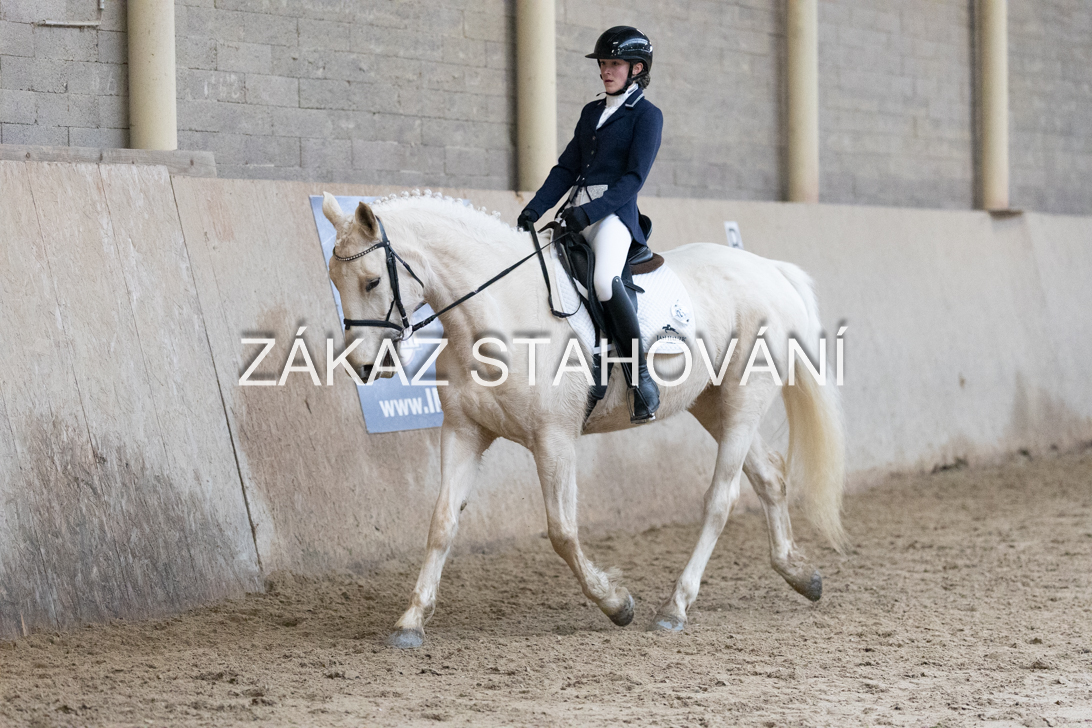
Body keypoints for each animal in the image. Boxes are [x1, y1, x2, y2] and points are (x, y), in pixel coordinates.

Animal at [319, 191, 846, 648]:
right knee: (770, 476)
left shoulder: (554, 439)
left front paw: (616, 603)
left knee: (721, 499)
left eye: (371, 281)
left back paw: (674, 608)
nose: (363, 366)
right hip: (712, 405)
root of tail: (767, 268)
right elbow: (442, 523)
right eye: (335, 280)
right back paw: (801, 575)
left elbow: (562, 530)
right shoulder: (464, 432)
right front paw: (411, 621)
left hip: (742, 401)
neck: (497, 313)